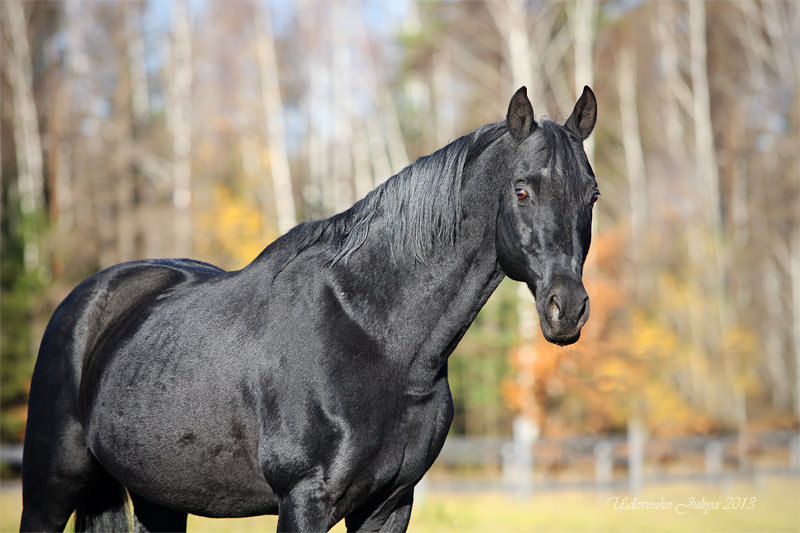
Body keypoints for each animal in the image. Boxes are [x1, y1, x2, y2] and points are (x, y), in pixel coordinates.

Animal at [18, 85, 596, 528]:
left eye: (591, 195)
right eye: (522, 191)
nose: (566, 309)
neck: (375, 335)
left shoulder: (390, 506)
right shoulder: (304, 501)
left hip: (159, 497)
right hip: (48, 493)